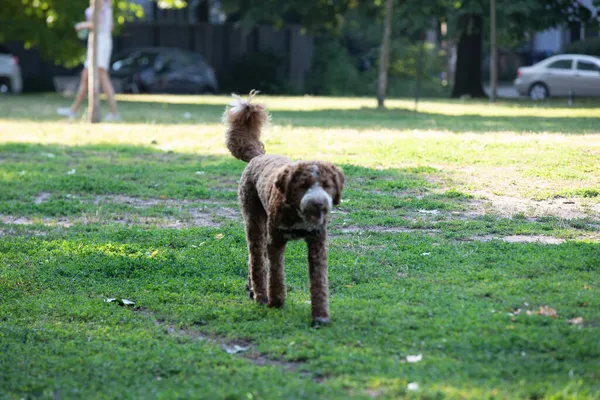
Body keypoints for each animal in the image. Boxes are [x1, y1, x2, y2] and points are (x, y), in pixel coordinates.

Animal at [224, 91, 346, 324]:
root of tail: (258, 156)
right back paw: (261, 295)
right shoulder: (276, 242)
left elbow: (319, 282)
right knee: (257, 259)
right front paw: (276, 302)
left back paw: (252, 289)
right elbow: (276, 275)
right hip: (254, 219)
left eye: (327, 185)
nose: (319, 203)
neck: (297, 212)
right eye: (304, 185)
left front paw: (320, 316)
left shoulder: (317, 244)